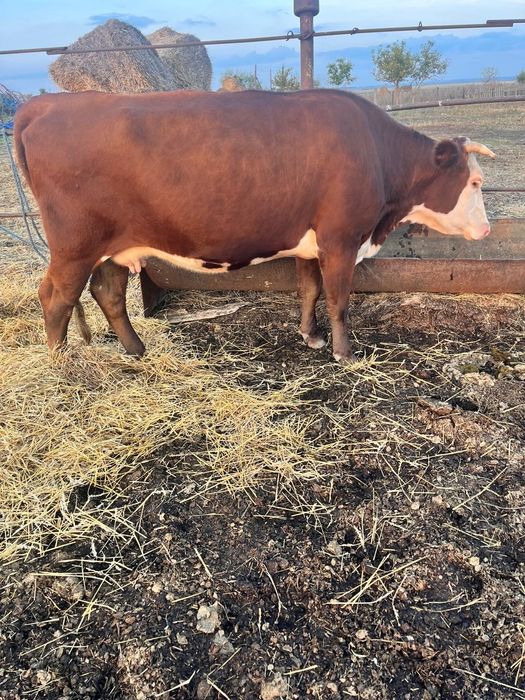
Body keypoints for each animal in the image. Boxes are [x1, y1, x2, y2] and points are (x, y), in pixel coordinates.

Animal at [14, 89, 495, 361]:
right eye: (475, 181)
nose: (487, 231)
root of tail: (46, 103)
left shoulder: (310, 242)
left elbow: (309, 290)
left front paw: (311, 337)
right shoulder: (340, 239)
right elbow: (338, 298)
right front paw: (345, 354)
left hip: (116, 246)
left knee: (107, 292)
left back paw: (137, 351)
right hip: (75, 246)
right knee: (55, 297)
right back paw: (61, 366)